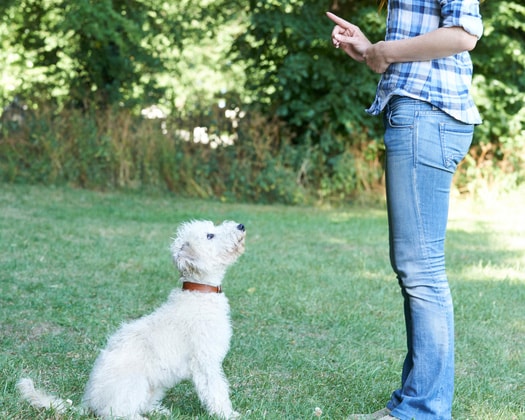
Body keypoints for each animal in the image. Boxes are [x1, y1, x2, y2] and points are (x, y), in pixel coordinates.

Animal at [17, 220, 245, 420]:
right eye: (210, 235)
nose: (241, 226)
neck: (199, 292)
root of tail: (88, 401)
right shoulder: (205, 361)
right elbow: (216, 390)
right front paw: (228, 414)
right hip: (135, 384)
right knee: (113, 413)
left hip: (155, 385)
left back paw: (159, 411)